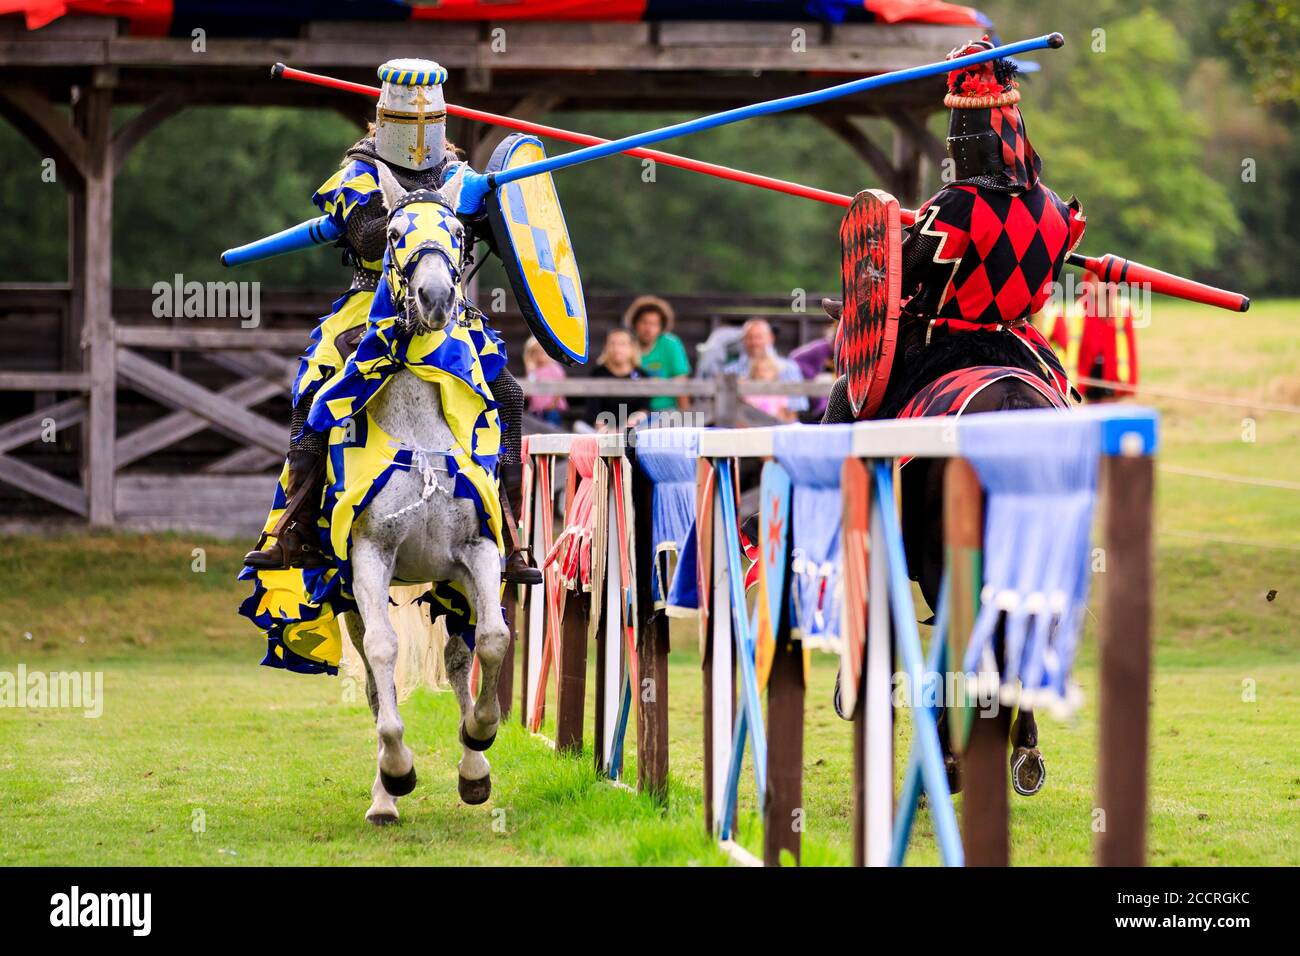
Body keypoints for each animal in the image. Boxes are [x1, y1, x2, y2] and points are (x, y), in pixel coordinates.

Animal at [340, 164, 506, 822]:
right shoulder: (368, 556)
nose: (435, 299)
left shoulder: (479, 551)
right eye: (392, 233)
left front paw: (480, 735)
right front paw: (397, 770)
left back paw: (474, 768)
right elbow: (383, 655)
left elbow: (493, 640)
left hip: (449, 580)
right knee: (371, 677)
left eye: (458, 233)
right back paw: (385, 798)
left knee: (462, 656)